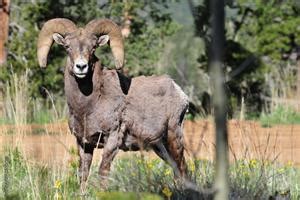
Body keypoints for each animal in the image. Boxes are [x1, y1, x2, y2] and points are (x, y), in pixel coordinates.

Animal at [36, 18, 189, 190]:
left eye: (93, 47)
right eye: (67, 47)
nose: (81, 67)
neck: (87, 108)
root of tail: (179, 92)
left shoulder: (112, 139)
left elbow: (103, 172)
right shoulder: (83, 143)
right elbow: (83, 174)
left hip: (173, 137)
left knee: (182, 169)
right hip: (160, 146)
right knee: (177, 170)